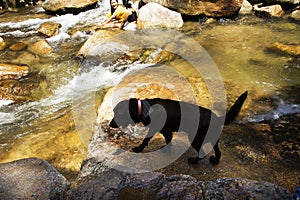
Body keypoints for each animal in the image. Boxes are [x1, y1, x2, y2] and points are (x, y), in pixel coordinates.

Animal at [109, 91, 247, 165]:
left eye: (117, 114)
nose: (110, 124)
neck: (144, 108)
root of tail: (218, 117)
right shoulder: (166, 131)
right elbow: (168, 140)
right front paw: (166, 149)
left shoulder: (155, 129)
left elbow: (145, 140)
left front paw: (138, 149)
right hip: (211, 138)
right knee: (218, 152)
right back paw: (215, 160)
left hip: (195, 138)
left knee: (202, 153)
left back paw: (194, 161)